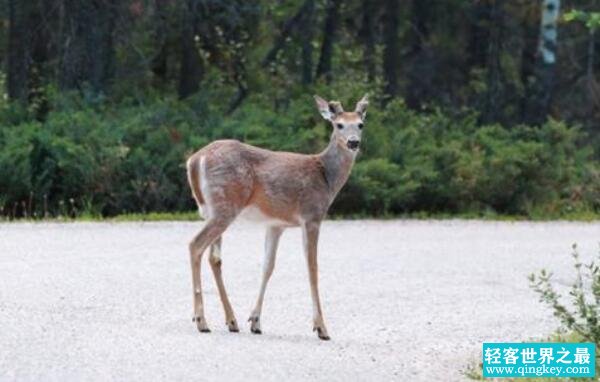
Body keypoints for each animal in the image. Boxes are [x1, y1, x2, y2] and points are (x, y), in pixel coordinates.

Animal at [185, 92, 368, 340]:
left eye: (360, 124)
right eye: (338, 124)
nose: (353, 142)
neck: (326, 178)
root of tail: (194, 160)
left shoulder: (275, 224)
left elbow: (267, 266)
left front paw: (255, 321)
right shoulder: (311, 216)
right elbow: (312, 267)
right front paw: (321, 327)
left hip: (210, 209)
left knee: (214, 257)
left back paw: (231, 321)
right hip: (225, 205)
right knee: (195, 245)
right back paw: (201, 320)